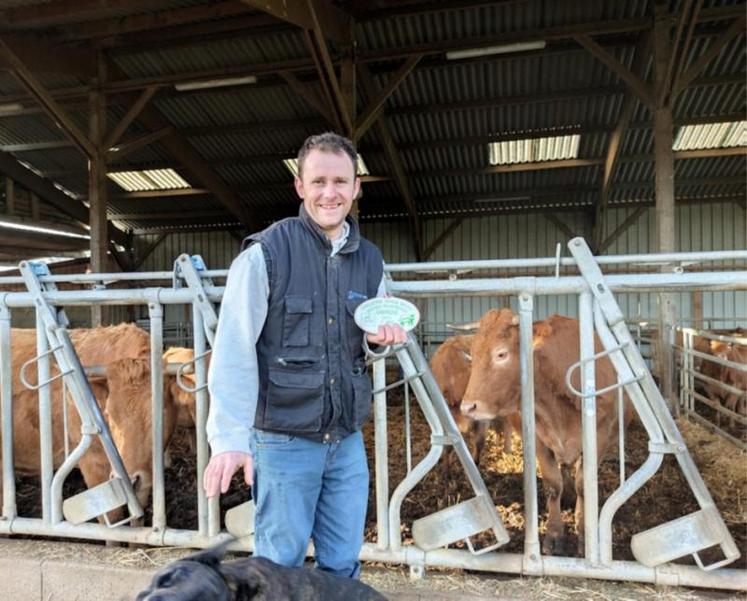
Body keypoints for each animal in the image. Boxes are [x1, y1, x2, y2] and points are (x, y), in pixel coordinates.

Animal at [462, 312, 632, 556]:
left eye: (501, 353)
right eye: (473, 355)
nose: (468, 407)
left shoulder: (599, 438)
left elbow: (584, 485)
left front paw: (584, 532)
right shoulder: (539, 439)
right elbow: (553, 484)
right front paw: (554, 534)